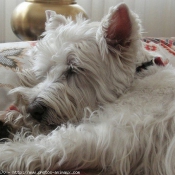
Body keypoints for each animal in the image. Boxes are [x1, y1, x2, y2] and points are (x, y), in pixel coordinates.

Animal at [0, 2, 175, 175]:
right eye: (46, 69)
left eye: (73, 69)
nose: (33, 109)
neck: (138, 74)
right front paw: (13, 120)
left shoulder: (109, 136)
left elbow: (47, 145)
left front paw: (6, 152)